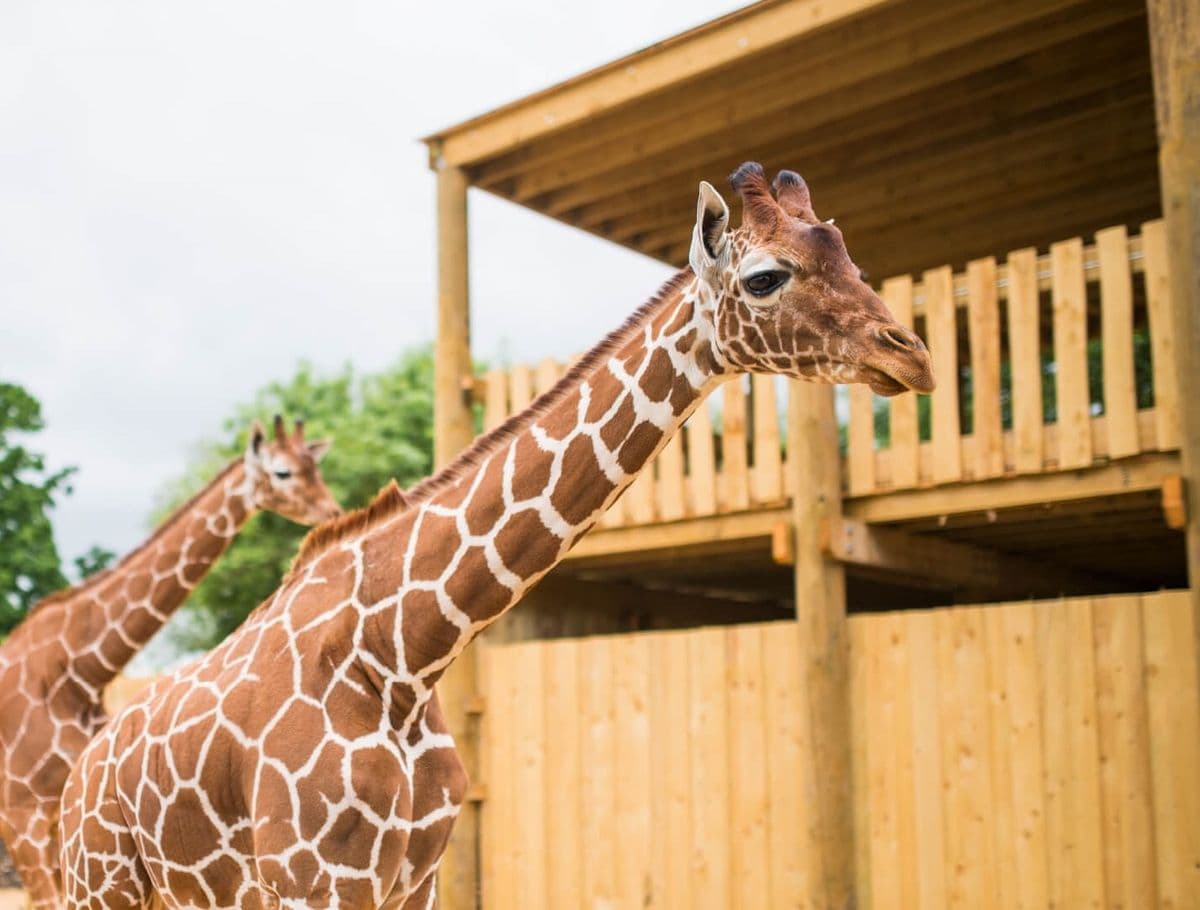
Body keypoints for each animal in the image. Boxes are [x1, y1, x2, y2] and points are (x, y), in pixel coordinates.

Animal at [58, 163, 935, 909]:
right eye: (766, 276)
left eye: (849, 254)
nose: (913, 356)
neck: (406, 656)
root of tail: (77, 776)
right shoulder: (315, 882)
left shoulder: (414, 881)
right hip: (100, 882)